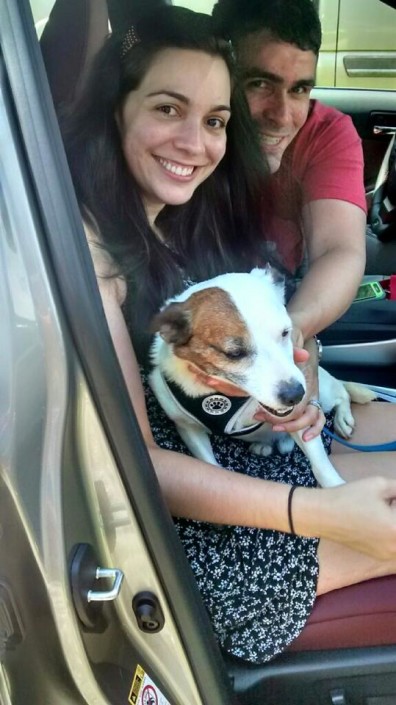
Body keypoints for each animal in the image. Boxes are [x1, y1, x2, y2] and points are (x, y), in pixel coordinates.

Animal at [148, 266, 374, 486]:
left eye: (285, 332)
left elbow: (321, 466)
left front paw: (337, 487)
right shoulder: (188, 429)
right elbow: (209, 464)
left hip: (323, 394)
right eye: (234, 353)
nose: (295, 395)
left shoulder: (301, 417)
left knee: (342, 392)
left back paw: (343, 417)